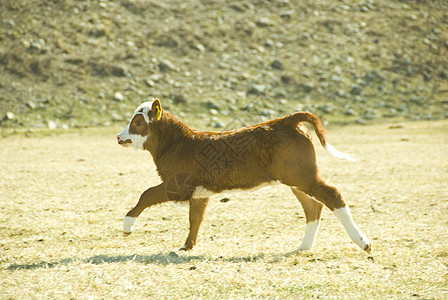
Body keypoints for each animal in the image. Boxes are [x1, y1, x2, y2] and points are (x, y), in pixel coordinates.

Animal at [116, 99, 372, 253]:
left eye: (137, 122)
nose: (119, 137)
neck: (178, 143)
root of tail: (286, 121)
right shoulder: (199, 193)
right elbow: (195, 218)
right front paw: (187, 247)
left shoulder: (177, 185)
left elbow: (147, 194)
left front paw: (127, 226)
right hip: (297, 180)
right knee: (313, 207)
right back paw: (304, 247)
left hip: (303, 177)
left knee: (332, 195)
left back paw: (363, 243)